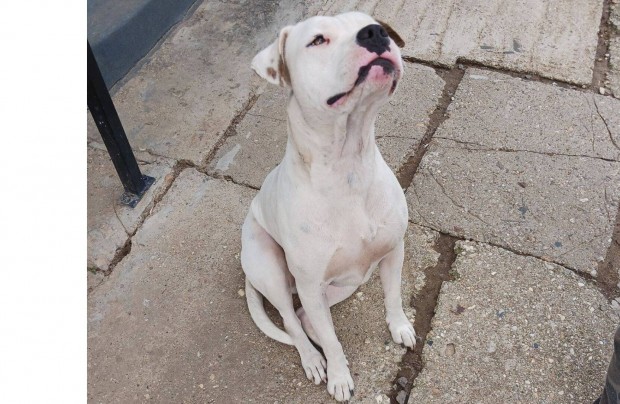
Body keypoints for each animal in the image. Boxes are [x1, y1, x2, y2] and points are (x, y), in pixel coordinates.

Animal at [241, 12, 415, 402]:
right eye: (318, 40)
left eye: (372, 23)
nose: (374, 33)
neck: (347, 165)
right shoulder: (309, 284)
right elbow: (333, 343)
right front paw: (339, 376)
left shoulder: (393, 251)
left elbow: (394, 297)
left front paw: (400, 326)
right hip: (271, 266)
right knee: (292, 320)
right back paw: (312, 359)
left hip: (341, 286)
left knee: (305, 318)